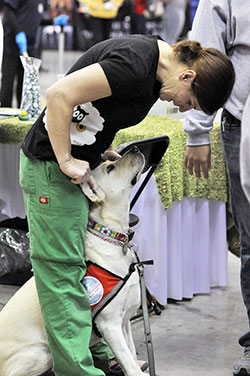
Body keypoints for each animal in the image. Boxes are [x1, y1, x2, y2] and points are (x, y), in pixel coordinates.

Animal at [0, 147, 146, 376]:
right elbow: (130, 365)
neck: (110, 235)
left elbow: (131, 355)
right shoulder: (110, 324)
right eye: (110, 168)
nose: (137, 148)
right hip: (41, 354)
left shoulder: (125, 322)